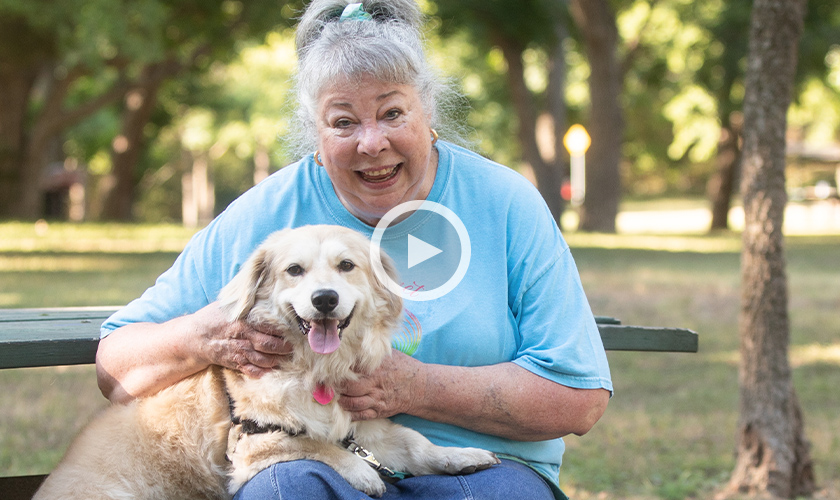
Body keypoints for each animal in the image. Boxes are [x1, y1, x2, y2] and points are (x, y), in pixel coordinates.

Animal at [36, 227, 498, 500]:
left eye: (346, 266)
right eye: (294, 270)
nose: (324, 299)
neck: (314, 369)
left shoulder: (367, 428)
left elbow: (416, 443)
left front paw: (461, 456)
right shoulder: (253, 445)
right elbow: (313, 445)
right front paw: (361, 472)